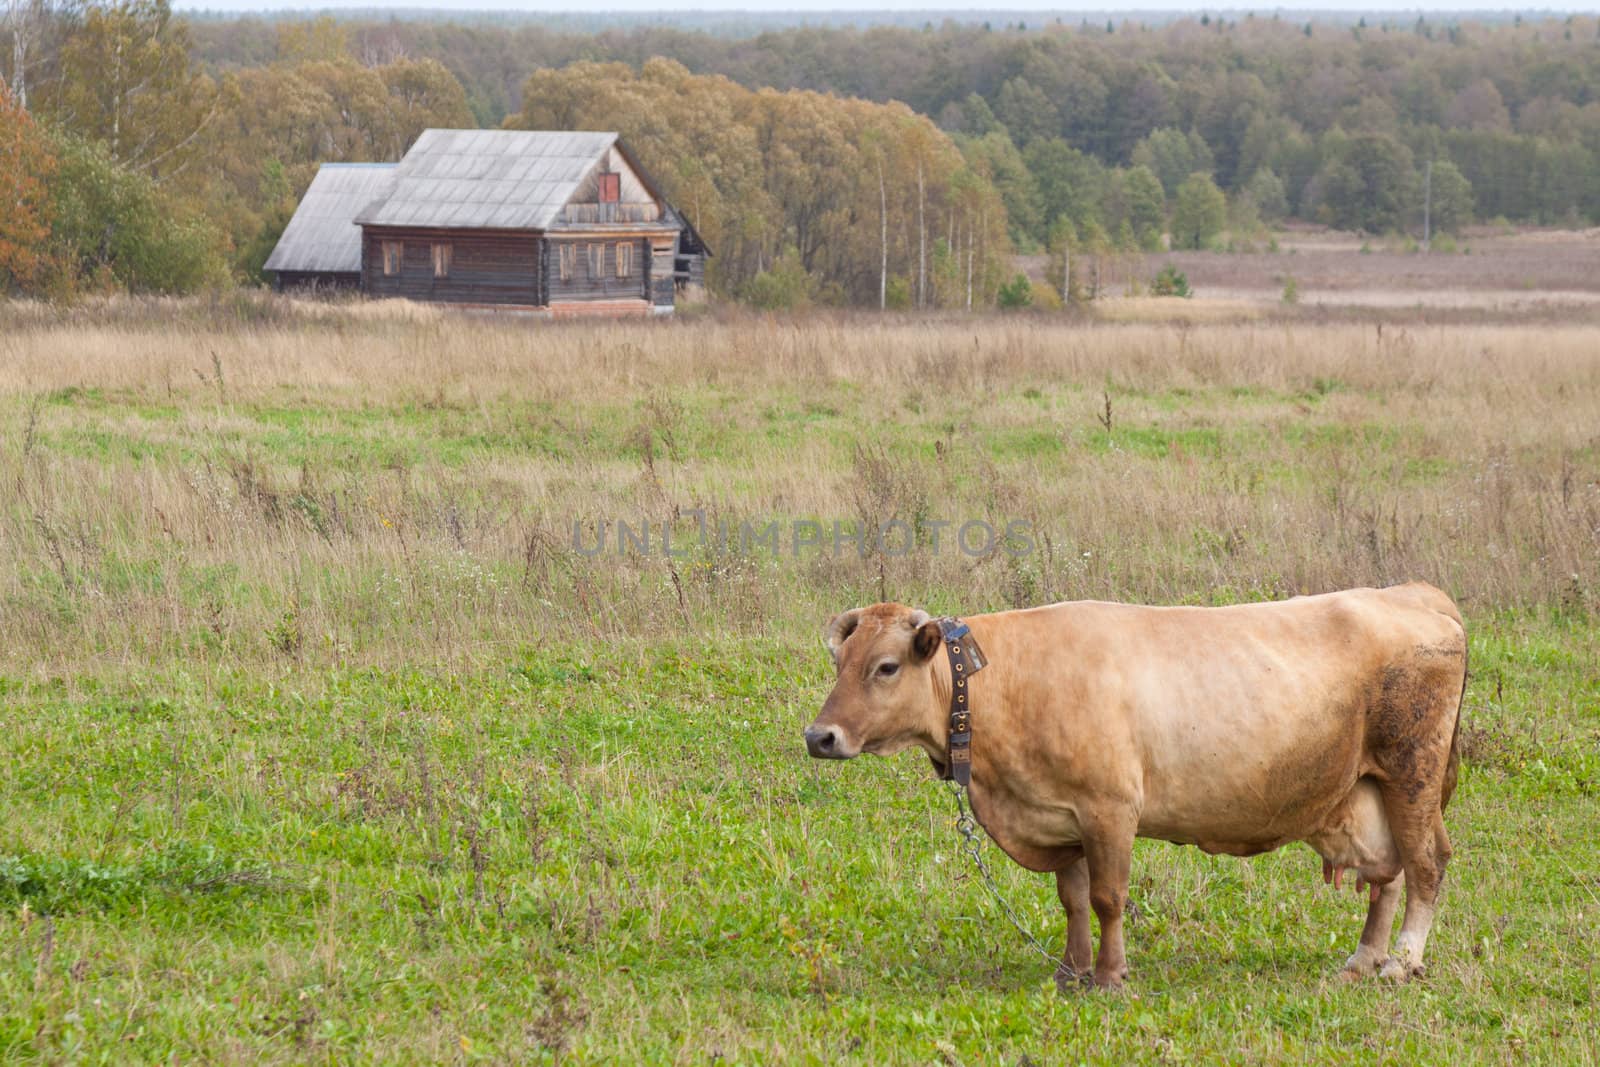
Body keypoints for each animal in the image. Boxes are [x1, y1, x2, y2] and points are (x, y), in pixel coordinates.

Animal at [806, 588, 1465, 991]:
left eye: (886, 667)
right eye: (840, 664)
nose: (820, 736)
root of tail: (1411, 593)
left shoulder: (1110, 810)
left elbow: (1107, 899)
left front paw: (1109, 974)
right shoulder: (1062, 816)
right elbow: (1072, 899)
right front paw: (1071, 971)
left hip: (1413, 772)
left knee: (1426, 864)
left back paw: (1404, 960)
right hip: (1368, 789)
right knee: (1387, 874)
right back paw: (1364, 957)